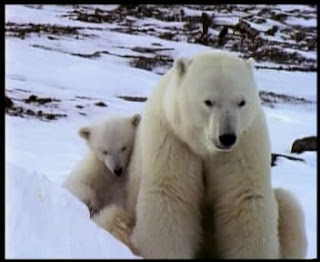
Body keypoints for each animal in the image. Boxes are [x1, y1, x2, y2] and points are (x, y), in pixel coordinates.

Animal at [125, 50, 308, 258]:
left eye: (241, 102)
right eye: (208, 102)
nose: (227, 137)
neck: (205, 148)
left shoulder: (244, 144)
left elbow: (243, 197)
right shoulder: (173, 139)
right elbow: (170, 193)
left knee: (289, 206)